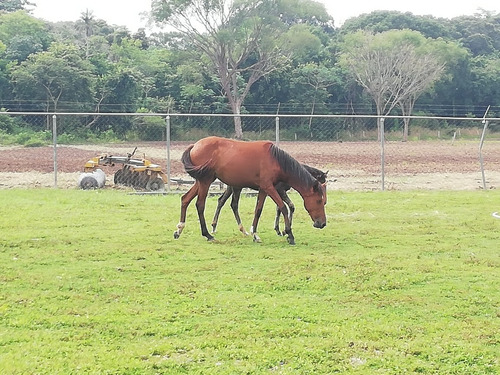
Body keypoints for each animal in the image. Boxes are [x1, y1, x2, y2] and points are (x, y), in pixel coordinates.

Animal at [174, 137, 326, 245]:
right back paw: (207, 234)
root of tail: (195, 146)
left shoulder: (264, 189)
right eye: (319, 201)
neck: (275, 160)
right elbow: (283, 207)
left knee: (185, 199)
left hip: (202, 181)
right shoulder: (270, 187)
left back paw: (179, 229)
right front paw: (289, 234)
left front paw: (255, 234)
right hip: (205, 181)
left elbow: (258, 210)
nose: (322, 223)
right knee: (200, 205)